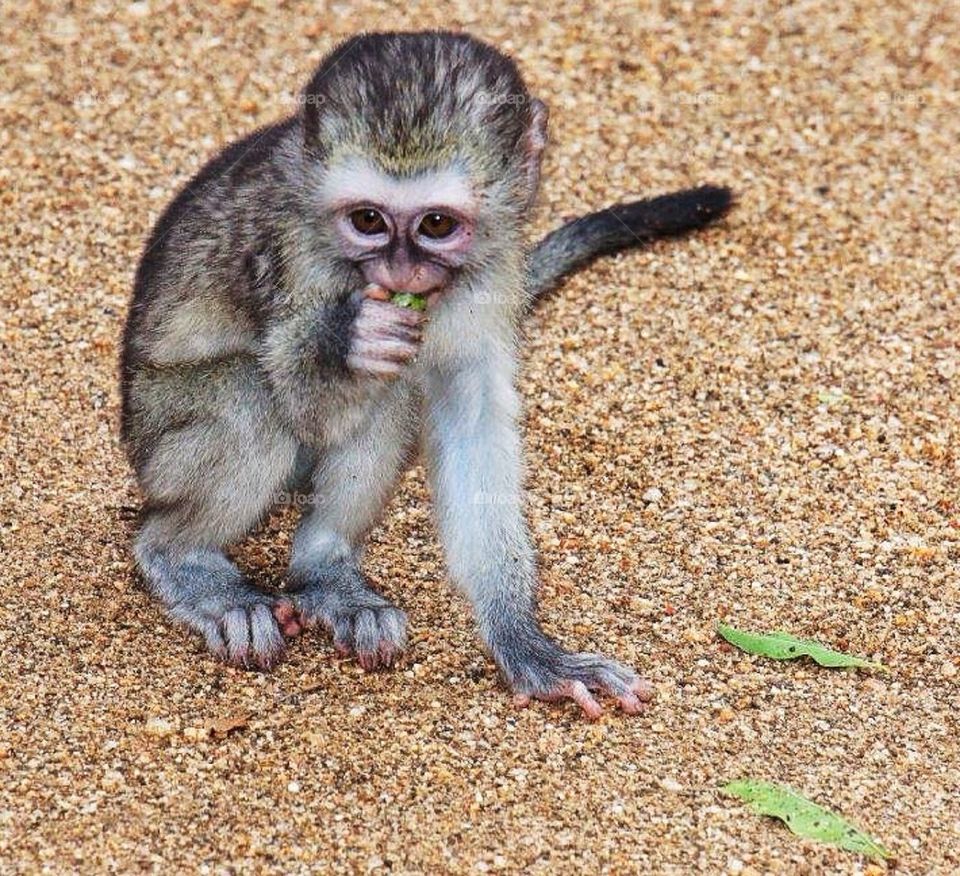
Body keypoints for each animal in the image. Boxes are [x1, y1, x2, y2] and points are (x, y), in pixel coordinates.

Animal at [120, 31, 732, 718]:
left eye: (436, 224)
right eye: (368, 220)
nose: (401, 273)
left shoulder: (495, 269)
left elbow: (472, 421)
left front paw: (523, 641)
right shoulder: (292, 255)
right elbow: (301, 401)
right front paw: (346, 342)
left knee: (396, 394)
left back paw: (323, 570)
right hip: (158, 445)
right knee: (256, 401)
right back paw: (183, 556)